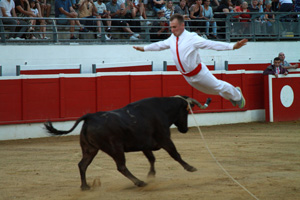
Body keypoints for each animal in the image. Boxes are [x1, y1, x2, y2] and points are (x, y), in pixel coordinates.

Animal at [44, 96, 210, 190]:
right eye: (187, 111)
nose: (185, 129)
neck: (162, 109)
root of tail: (90, 116)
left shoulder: (145, 144)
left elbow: (152, 158)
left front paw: (151, 175)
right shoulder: (165, 139)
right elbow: (175, 154)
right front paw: (190, 167)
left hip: (90, 149)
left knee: (82, 165)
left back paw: (85, 186)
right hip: (115, 148)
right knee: (121, 167)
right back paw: (139, 182)